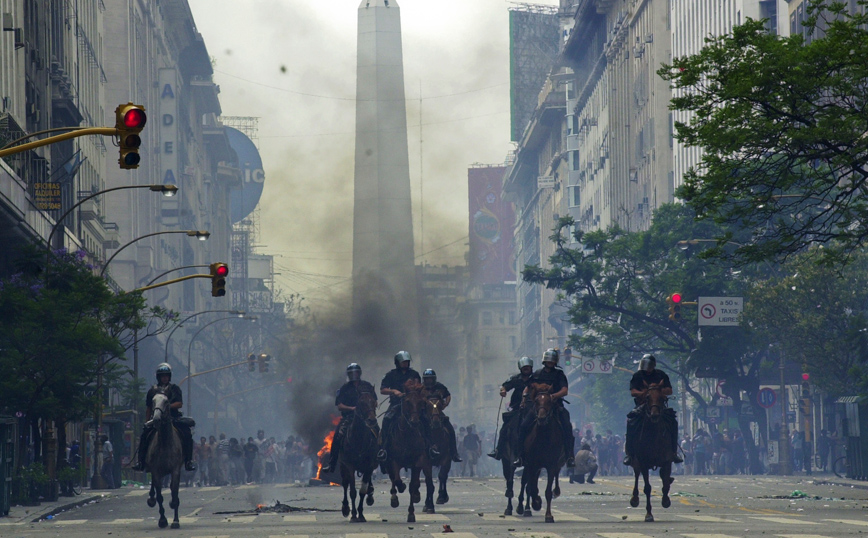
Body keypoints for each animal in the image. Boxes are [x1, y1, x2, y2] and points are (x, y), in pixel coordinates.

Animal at [144, 388, 185, 524]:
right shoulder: (156, 471)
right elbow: (160, 497)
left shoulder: (175, 469)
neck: (165, 443)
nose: (156, 419)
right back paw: (151, 498)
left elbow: (175, 492)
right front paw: (162, 520)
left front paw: (175, 521)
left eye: (167, 402)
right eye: (153, 401)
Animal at [340, 390, 380, 520]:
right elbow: (352, 490)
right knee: (345, 484)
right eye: (361, 403)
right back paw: (345, 508)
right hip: (342, 466)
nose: (372, 420)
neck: (359, 439)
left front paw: (361, 514)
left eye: (374, 402)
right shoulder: (349, 465)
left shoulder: (369, 466)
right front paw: (353, 515)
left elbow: (362, 491)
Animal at [384, 376, 434, 520]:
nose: (415, 421)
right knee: (393, 479)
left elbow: (413, 485)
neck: (407, 435)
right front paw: (399, 491)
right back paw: (394, 497)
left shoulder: (418, 461)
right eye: (407, 401)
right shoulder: (393, 460)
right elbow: (397, 480)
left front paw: (411, 513)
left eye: (420, 402)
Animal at [632, 384, 680, 520]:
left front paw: (666, 500)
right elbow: (647, 488)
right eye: (647, 397)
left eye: (661, 397)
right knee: (636, 474)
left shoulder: (667, 460)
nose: (654, 415)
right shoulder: (643, 462)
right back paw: (634, 498)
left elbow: (665, 482)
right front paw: (649, 514)